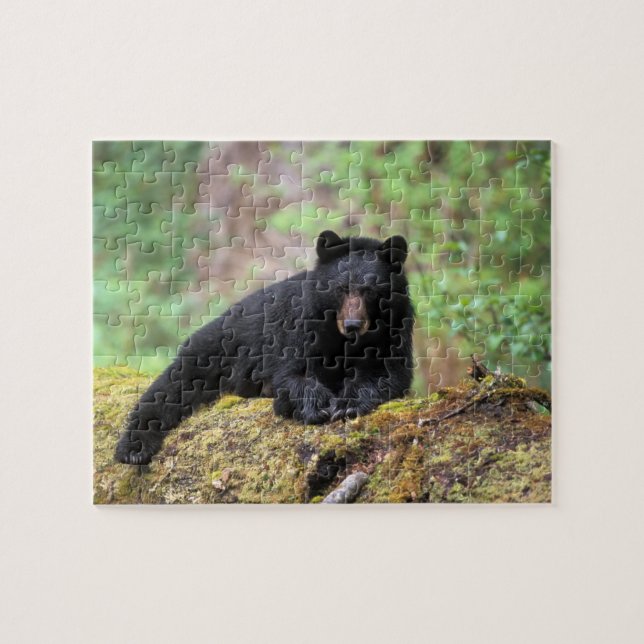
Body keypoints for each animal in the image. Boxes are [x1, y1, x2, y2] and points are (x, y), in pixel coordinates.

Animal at [115, 230, 414, 464]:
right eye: (340, 288)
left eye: (371, 290)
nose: (353, 324)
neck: (344, 341)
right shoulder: (298, 325)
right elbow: (290, 373)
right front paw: (314, 404)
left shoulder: (395, 328)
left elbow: (388, 372)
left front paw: (348, 404)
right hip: (212, 351)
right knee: (170, 388)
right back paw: (134, 448)